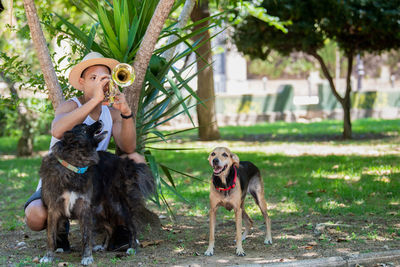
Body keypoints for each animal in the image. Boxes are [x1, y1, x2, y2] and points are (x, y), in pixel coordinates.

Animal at [39, 122, 155, 266]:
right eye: (83, 129)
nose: (99, 121)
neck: (73, 167)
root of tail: (126, 162)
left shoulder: (84, 208)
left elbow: (86, 236)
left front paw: (87, 257)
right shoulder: (53, 209)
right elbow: (50, 236)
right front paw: (48, 257)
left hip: (118, 206)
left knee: (132, 227)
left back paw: (132, 248)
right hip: (97, 212)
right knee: (110, 228)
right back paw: (103, 247)